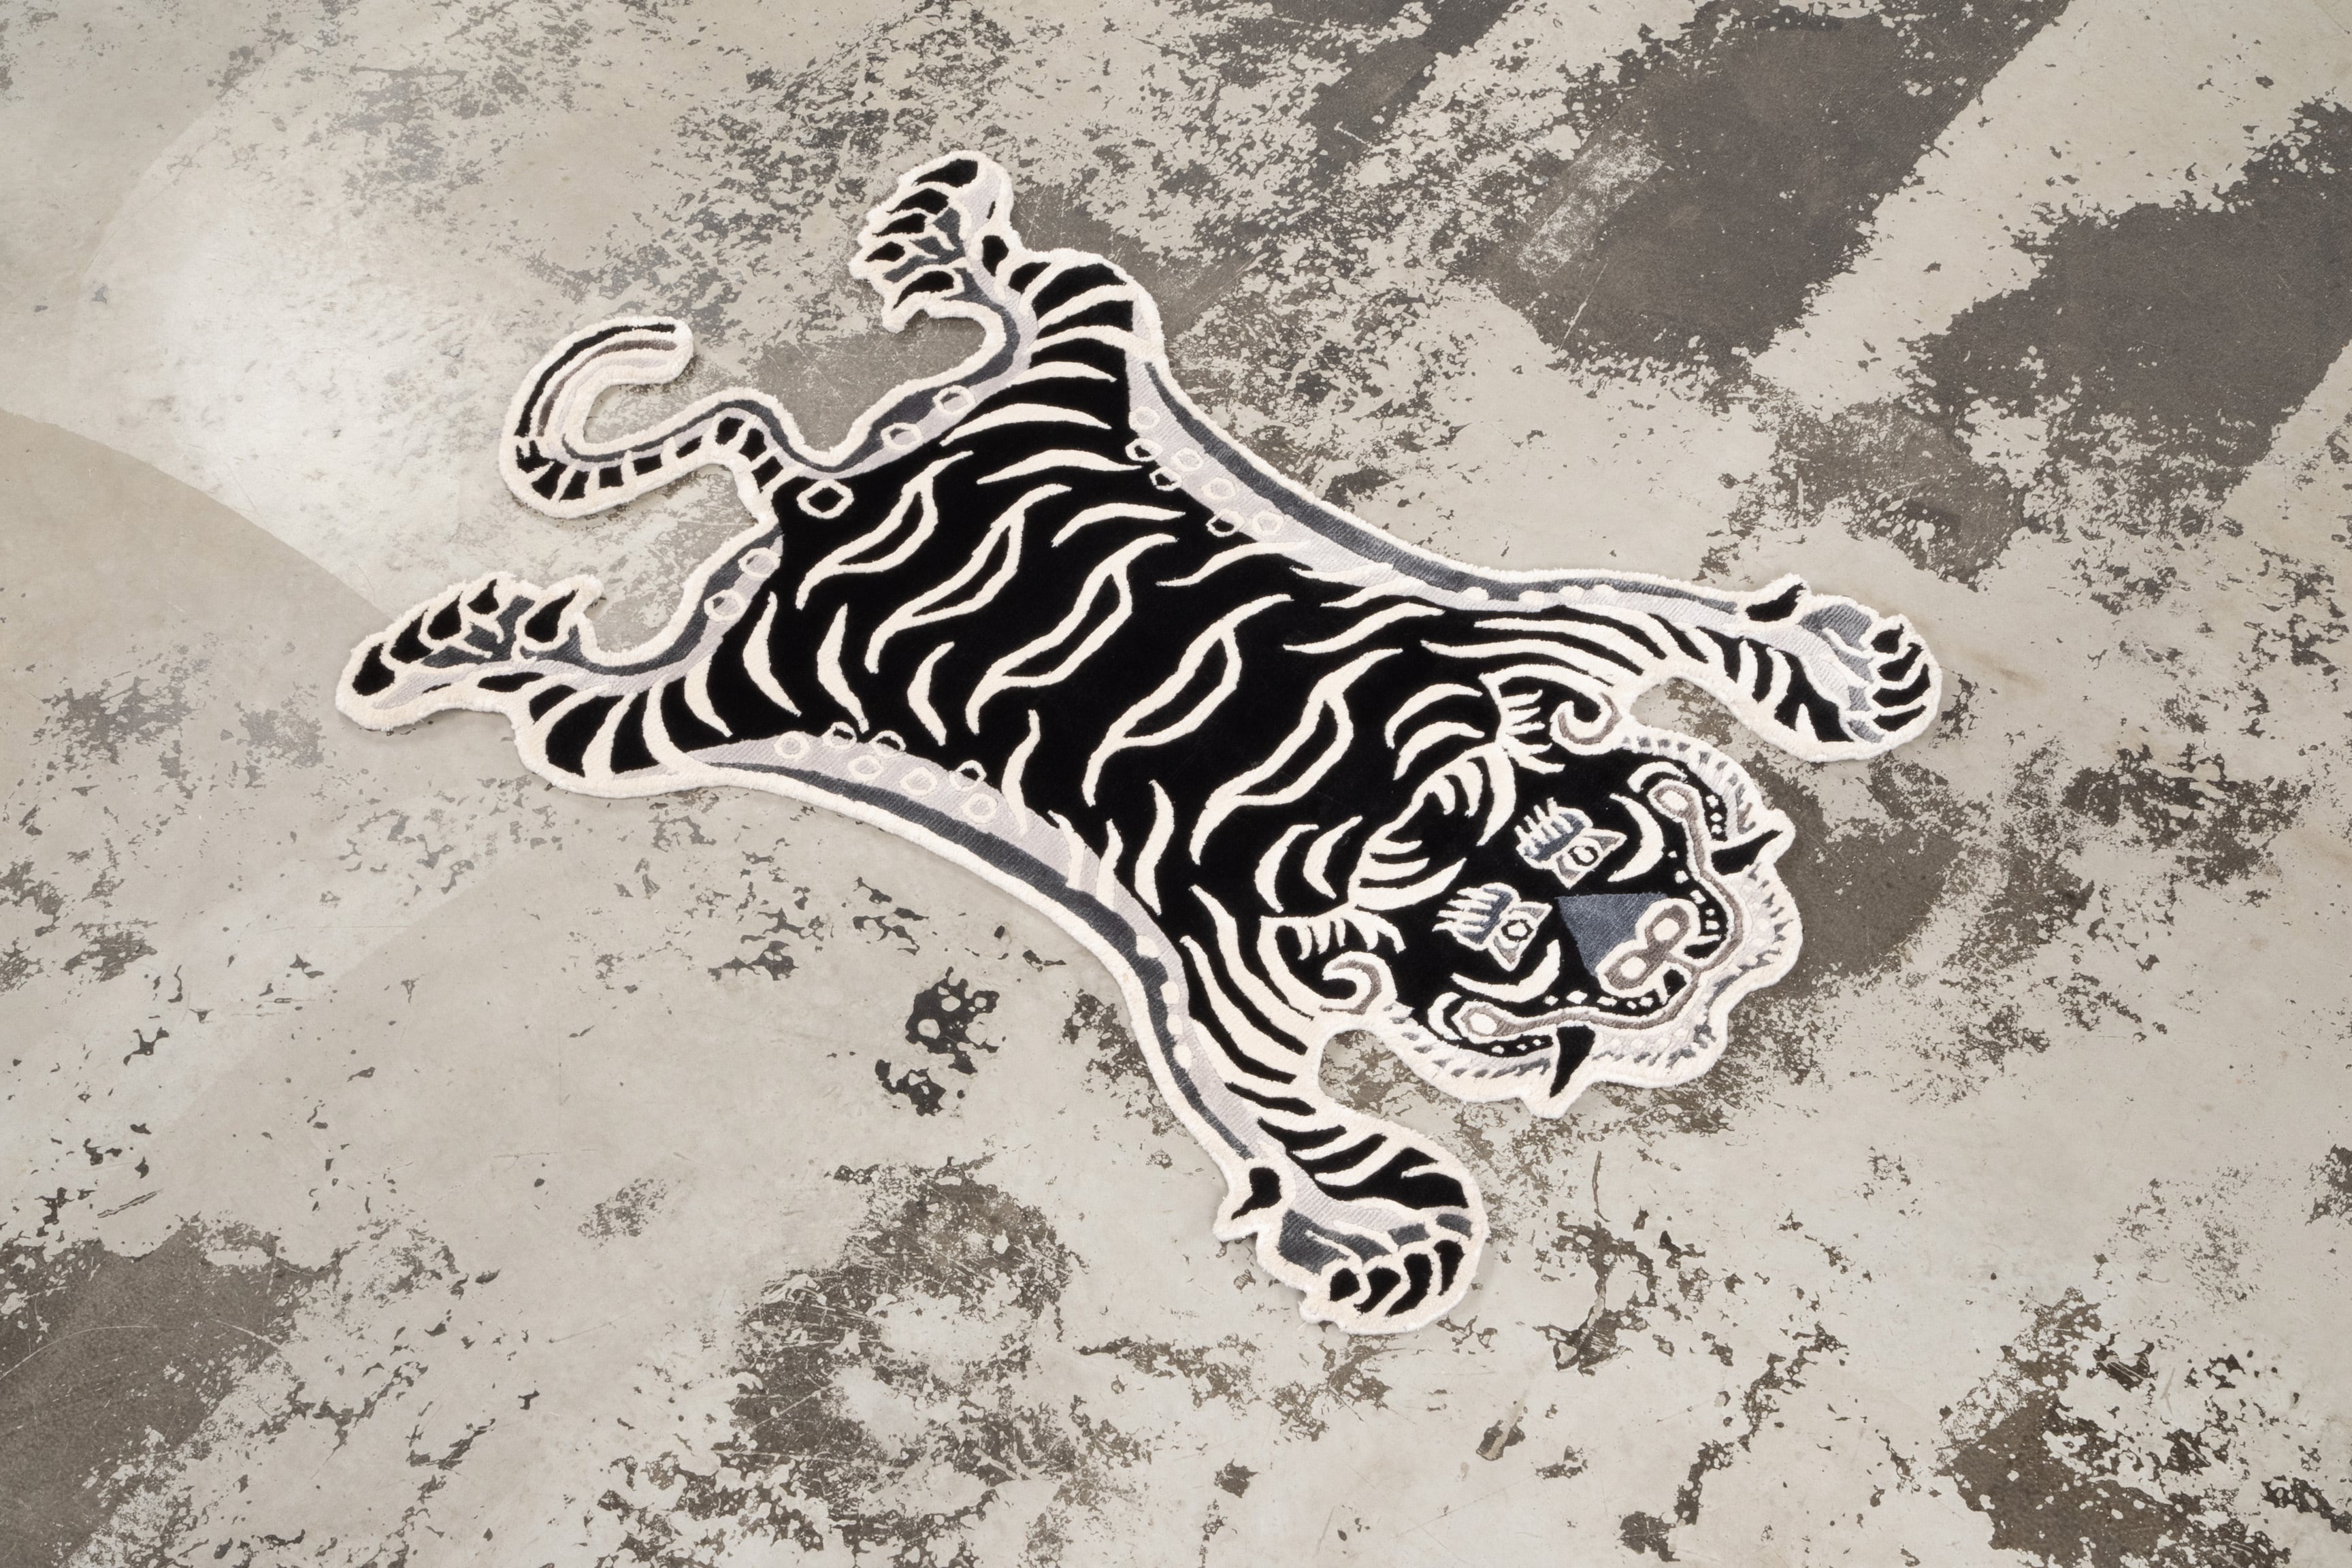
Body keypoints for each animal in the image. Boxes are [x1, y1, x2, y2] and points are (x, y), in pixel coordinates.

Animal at [337, 152, 1939, 1333]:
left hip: (1069, 372)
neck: (1403, 803)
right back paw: (456, 644)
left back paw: (941, 235)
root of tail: (815, 494)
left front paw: (1850, 673)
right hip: (689, 712)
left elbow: (1721, 634)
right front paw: (1379, 1246)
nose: (1658, 952)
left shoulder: (1562, 634)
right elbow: (1322, 1148)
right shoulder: (1214, 1015)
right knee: (562, 696)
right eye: (1507, 947)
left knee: (1047, 289)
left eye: (1615, 848)